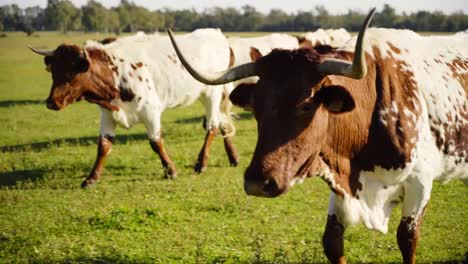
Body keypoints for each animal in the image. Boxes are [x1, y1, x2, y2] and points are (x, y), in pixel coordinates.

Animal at [169, 8, 468, 264]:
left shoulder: (420, 183)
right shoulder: (340, 184)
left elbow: (407, 239)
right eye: (256, 105)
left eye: (306, 104)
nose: (257, 183)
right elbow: (332, 241)